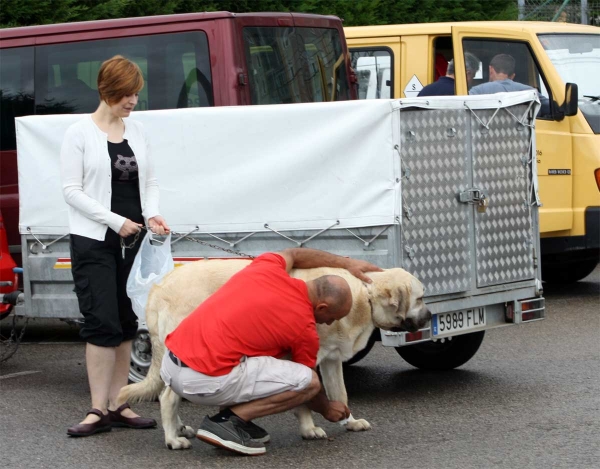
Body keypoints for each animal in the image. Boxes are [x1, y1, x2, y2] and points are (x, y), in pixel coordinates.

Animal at [117, 258, 428, 448]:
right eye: (421, 298)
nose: (429, 316)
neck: (363, 294)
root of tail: (160, 285)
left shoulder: (331, 360)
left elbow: (341, 394)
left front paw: (349, 421)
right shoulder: (303, 357)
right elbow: (306, 399)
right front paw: (309, 428)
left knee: (166, 392)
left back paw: (181, 428)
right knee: (168, 396)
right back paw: (173, 439)